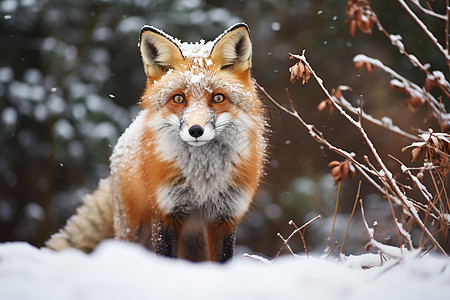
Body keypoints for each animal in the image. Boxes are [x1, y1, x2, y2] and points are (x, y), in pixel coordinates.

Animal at [46, 24, 268, 262]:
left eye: (218, 98)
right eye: (178, 98)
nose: (195, 130)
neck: (202, 181)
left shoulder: (224, 217)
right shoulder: (165, 213)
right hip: (134, 231)